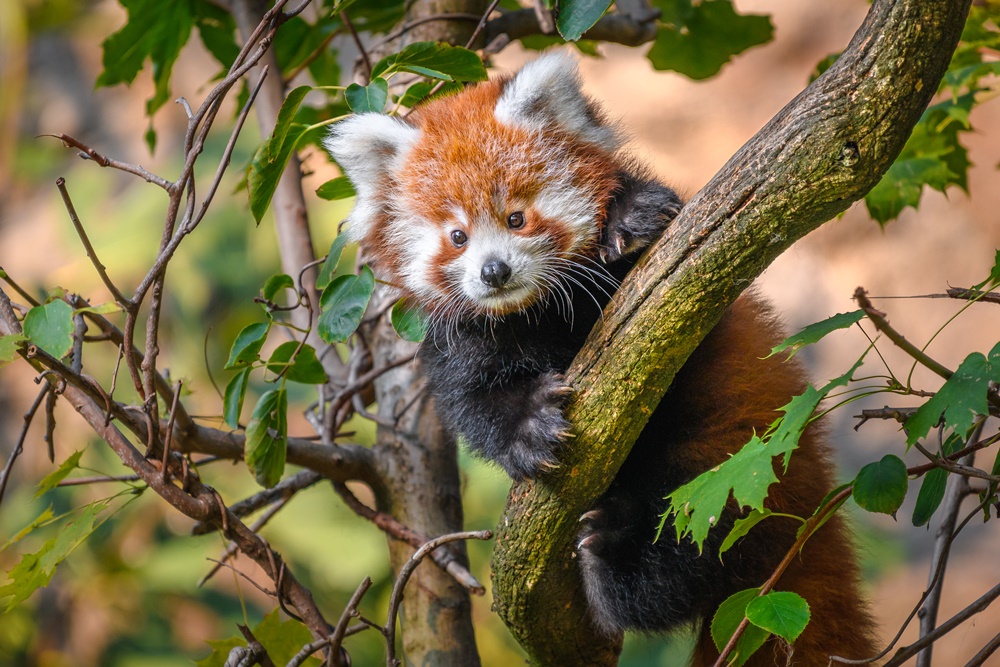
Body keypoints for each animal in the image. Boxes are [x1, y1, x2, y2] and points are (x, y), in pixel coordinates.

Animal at [328, 49, 876, 664]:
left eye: (516, 217)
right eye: (457, 237)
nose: (494, 272)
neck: (535, 313)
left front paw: (630, 219)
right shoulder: (460, 342)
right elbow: (475, 402)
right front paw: (528, 427)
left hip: (732, 454)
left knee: (692, 527)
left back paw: (613, 553)